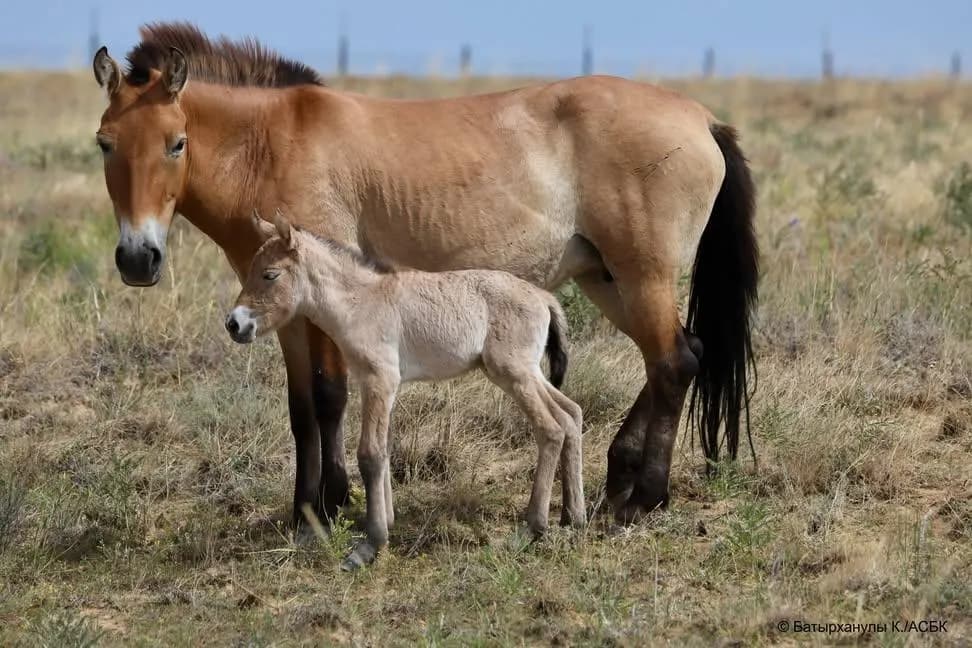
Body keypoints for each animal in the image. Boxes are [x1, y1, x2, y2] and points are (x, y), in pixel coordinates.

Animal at [92, 22, 757, 527]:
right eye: (104, 143)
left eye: (177, 142)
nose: (138, 258)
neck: (271, 145)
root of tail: (702, 119)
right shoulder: (285, 315)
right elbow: (301, 408)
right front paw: (302, 508)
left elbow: (330, 396)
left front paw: (332, 505)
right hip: (608, 280)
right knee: (683, 353)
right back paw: (620, 474)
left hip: (641, 275)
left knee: (674, 362)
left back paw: (644, 497)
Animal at [226, 212, 585, 568]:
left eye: (270, 274)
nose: (234, 324)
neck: (359, 303)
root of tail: (543, 297)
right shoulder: (377, 384)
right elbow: (384, 449)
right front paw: (386, 523)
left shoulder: (380, 379)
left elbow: (370, 454)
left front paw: (370, 545)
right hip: (527, 372)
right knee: (571, 414)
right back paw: (573, 516)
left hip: (514, 373)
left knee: (551, 428)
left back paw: (532, 528)